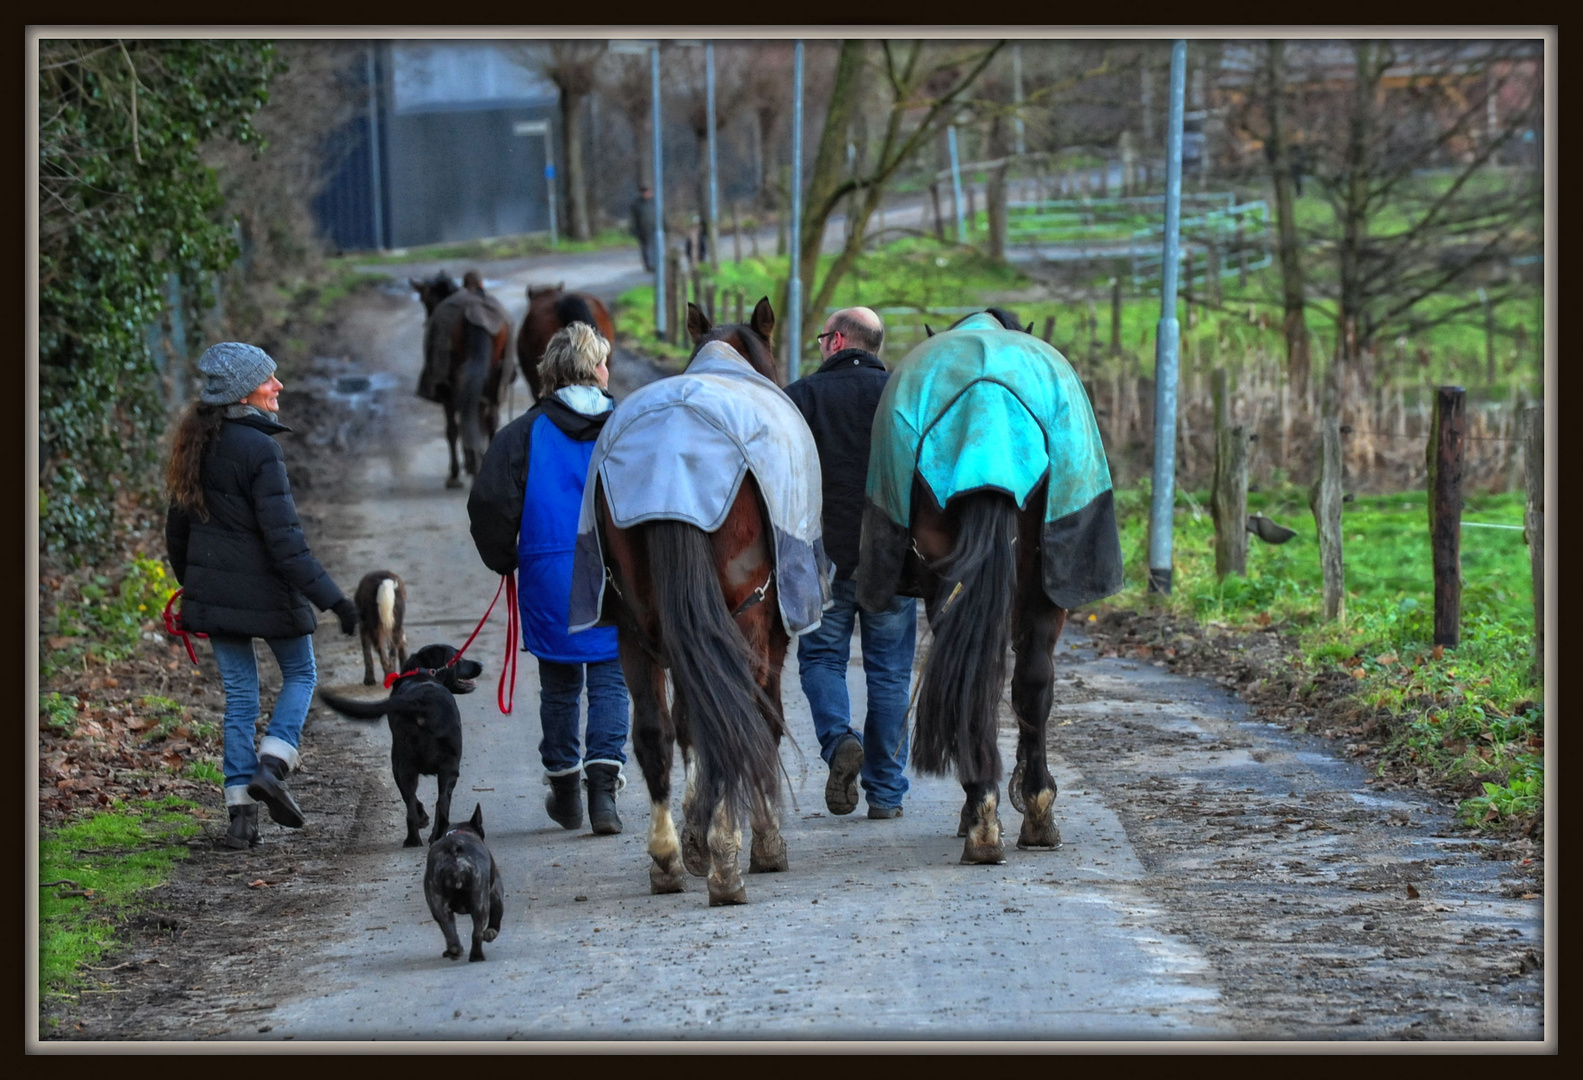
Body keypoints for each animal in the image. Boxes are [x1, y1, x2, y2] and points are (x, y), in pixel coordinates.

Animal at [318, 642, 484, 842]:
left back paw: (412, 839)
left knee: (411, 805)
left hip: (401, 764)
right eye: (458, 658)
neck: (421, 675)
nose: (480, 664)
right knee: (441, 802)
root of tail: (421, 701)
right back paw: (433, 835)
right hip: (448, 766)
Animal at [417, 269, 516, 487]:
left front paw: (456, 472)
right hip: (493, 378)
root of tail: (478, 314)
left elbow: (453, 429)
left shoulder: (446, 391)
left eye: (425, 300)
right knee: (489, 419)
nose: (427, 320)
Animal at [424, 798, 503, 956]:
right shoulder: (496, 891)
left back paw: (454, 950)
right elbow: (496, 914)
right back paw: (476, 956)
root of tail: (454, 851)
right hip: (480, 901)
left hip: (437, 901)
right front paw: (491, 932)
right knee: (476, 933)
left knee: (447, 926)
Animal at [576, 294, 816, 899]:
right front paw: (758, 842)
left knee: (655, 732)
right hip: (744, 619)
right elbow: (761, 721)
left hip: (636, 628)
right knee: (736, 716)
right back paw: (729, 862)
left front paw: (693, 838)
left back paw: (665, 859)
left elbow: (687, 725)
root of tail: (671, 454)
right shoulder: (768, 634)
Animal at [854, 307, 1127, 861]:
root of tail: (988, 410)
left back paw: (996, 813)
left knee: (1015, 679)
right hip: (1037, 590)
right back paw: (1018, 813)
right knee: (1028, 682)